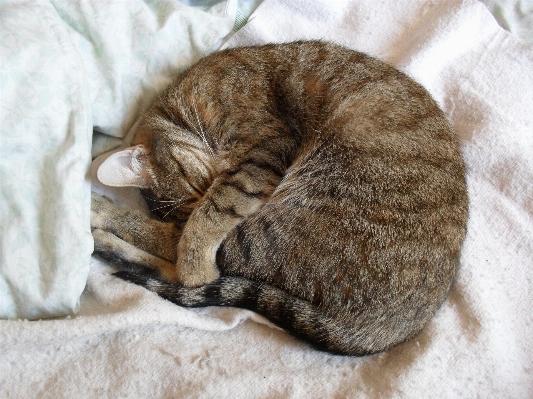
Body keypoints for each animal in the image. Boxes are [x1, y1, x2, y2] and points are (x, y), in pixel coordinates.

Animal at [90, 40, 466, 356]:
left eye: (197, 189)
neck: (185, 100)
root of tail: (387, 333)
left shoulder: (264, 149)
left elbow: (207, 218)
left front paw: (194, 262)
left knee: (196, 264)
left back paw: (106, 226)